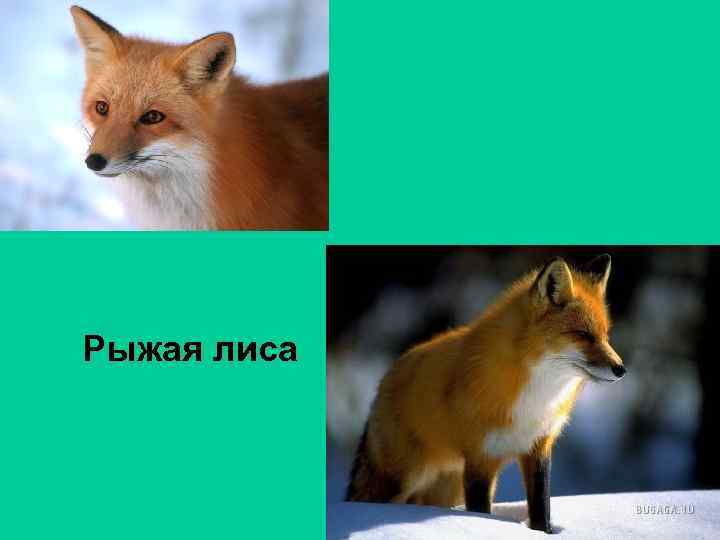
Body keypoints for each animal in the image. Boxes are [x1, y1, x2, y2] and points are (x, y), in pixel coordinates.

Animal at [345, 255, 626, 533]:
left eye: (605, 336)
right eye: (583, 335)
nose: (621, 369)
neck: (535, 395)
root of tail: (384, 381)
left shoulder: (538, 448)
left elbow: (541, 510)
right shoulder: (481, 459)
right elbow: (480, 514)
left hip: (447, 489)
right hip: (401, 479)